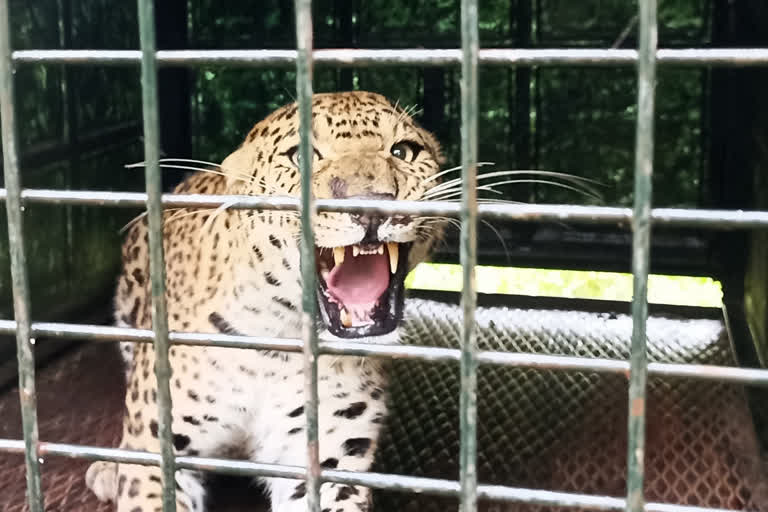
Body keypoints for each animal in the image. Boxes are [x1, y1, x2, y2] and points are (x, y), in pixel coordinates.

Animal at [84, 92, 444, 512]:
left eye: (402, 151)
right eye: (300, 157)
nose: (370, 204)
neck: (275, 345)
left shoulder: (327, 457)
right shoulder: (158, 449)